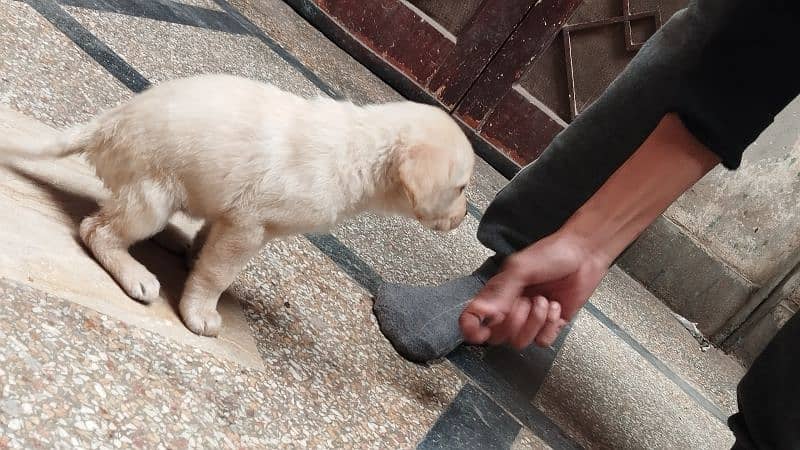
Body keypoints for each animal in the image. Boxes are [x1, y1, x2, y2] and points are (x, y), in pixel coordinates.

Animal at [1, 74, 476, 336]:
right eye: (460, 188)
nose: (463, 218)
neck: (360, 151)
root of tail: (104, 124)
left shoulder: (230, 217)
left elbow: (206, 245)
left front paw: (192, 259)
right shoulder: (248, 228)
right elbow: (216, 275)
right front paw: (200, 311)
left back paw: (172, 242)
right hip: (152, 196)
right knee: (97, 230)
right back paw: (134, 273)